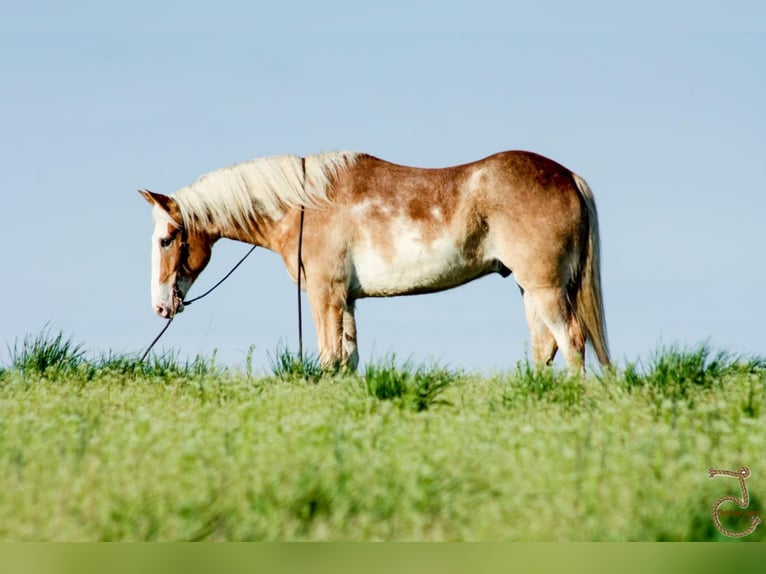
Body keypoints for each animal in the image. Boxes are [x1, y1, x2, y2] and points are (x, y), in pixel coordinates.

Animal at [141, 151, 612, 372]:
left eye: (166, 239)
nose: (161, 306)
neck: (304, 204)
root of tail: (568, 176)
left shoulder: (325, 295)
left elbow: (329, 356)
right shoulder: (347, 300)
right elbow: (348, 358)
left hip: (545, 288)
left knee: (571, 339)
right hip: (530, 288)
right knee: (544, 345)